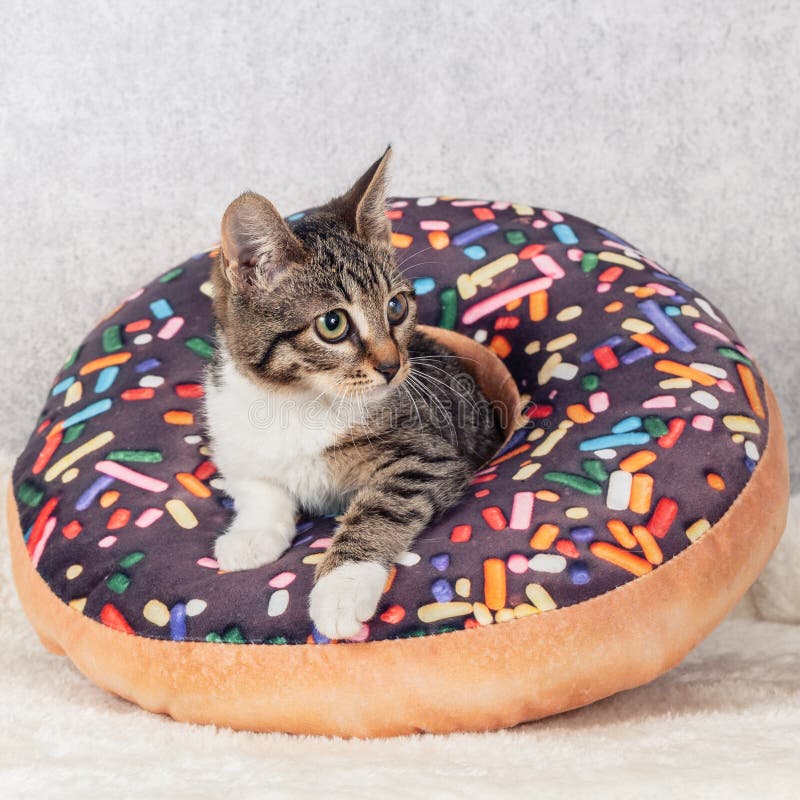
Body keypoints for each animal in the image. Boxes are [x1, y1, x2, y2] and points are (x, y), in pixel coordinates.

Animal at [208, 148, 500, 636]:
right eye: (333, 324)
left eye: (396, 307)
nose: (392, 366)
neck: (299, 401)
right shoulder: (230, 427)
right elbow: (257, 484)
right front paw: (251, 535)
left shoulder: (429, 454)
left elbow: (383, 507)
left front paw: (341, 587)